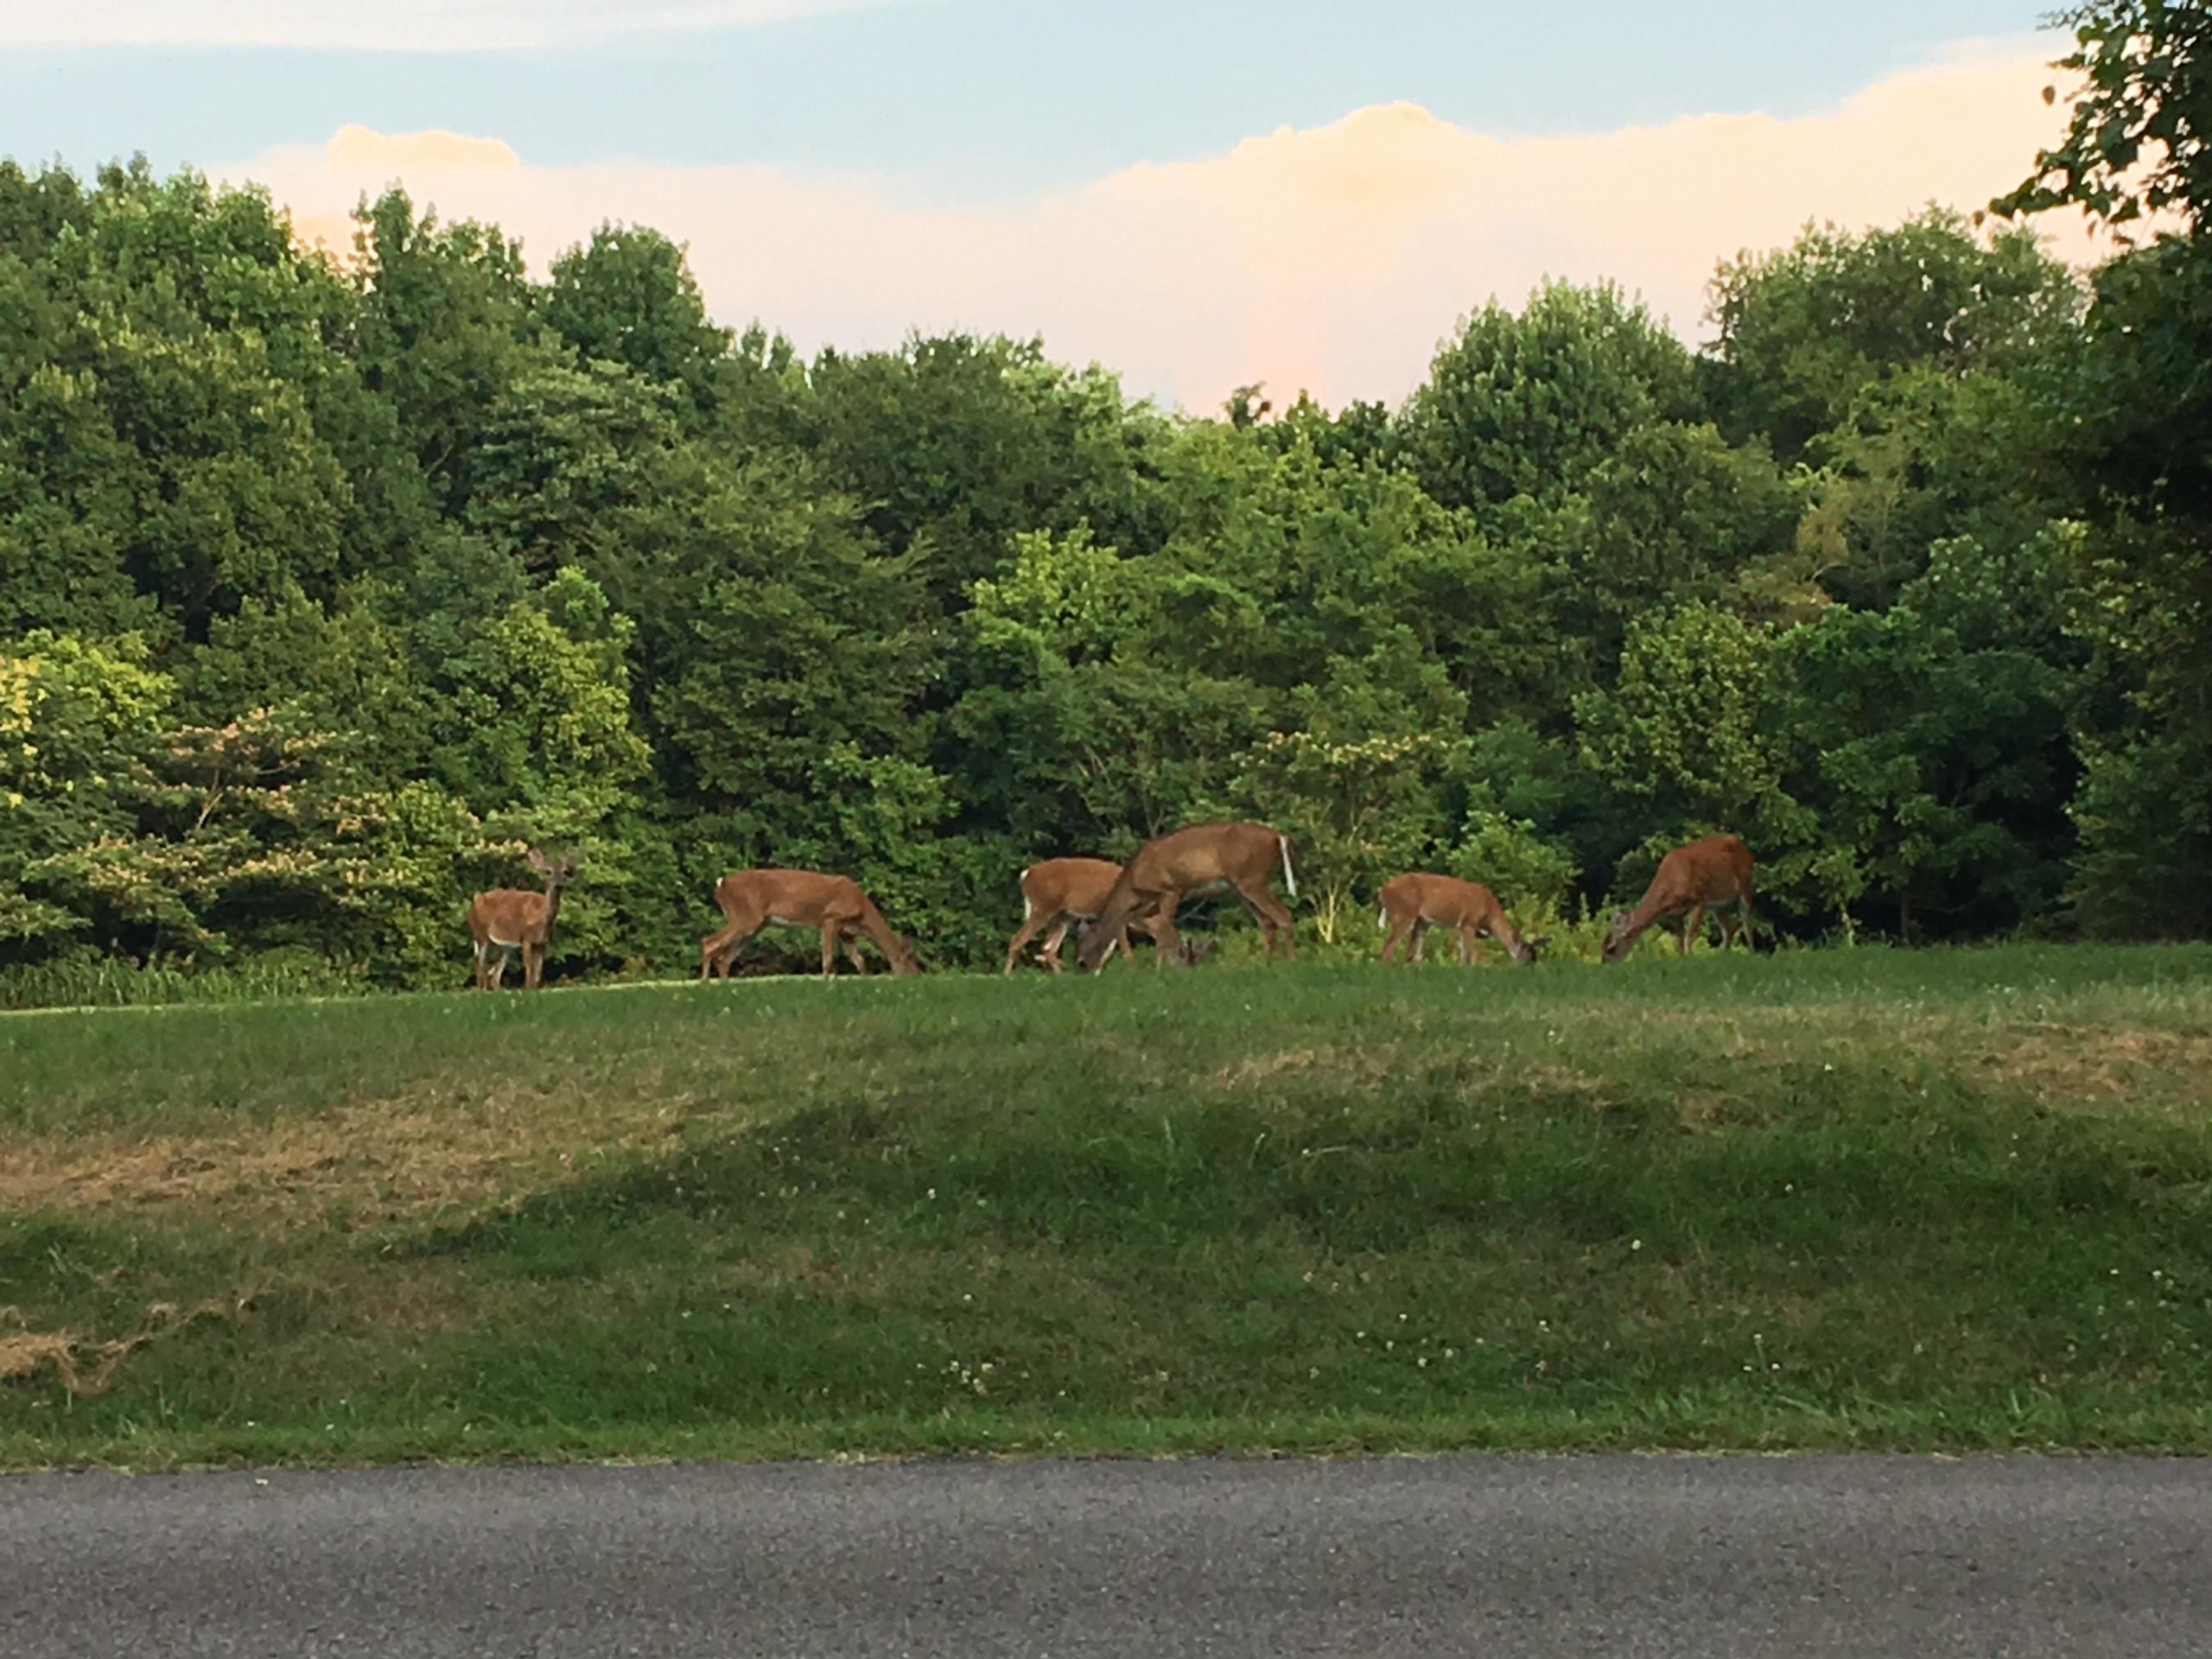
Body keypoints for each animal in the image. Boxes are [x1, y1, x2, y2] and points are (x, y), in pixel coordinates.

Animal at [467, 848, 581, 991]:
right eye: (548, 871)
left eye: (565, 871)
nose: (559, 884)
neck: (541, 917)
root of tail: (473, 903)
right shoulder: (526, 938)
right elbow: (529, 971)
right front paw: (528, 989)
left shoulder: (542, 943)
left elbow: (538, 974)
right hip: (480, 932)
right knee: (480, 965)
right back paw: (481, 990)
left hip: (506, 946)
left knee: (494, 974)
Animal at [699, 869, 920, 981]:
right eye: (911, 959)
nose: (917, 977)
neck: (862, 911)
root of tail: (722, 885)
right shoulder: (830, 918)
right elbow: (828, 959)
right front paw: (826, 985)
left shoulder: (847, 933)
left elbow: (860, 961)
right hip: (745, 916)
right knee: (709, 942)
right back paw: (705, 984)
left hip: (757, 923)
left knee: (725, 958)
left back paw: (725, 986)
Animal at [1074, 821, 1297, 973]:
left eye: (1083, 959)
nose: (1084, 967)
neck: (1133, 881)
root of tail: (1278, 836)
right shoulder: (1148, 903)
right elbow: (1153, 928)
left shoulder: (1171, 890)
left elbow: (1163, 929)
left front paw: (1159, 969)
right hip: (1243, 887)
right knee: (1268, 923)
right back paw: (1266, 965)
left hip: (1252, 879)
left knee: (1284, 916)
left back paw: (1293, 961)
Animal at [1376, 873, 1545, 966]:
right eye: (1528, 952)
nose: (1531, 966)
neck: (1489, 912)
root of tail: (1383, 890)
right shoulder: (1468, 922)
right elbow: (1474, 954)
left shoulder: (1463, 926)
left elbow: (1463, 956)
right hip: (1404, 914)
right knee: (1388, 948)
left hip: (1422, 921)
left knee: (1412, 954)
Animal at [1602, 834, 1757, 963]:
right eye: (1602, 946)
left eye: (1611, 948)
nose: (1606, 965)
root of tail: (1746, 849)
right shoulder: (1676, 914)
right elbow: (1679, 941)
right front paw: (1682, 960)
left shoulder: (1700, 899)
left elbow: (1690, 936)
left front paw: (1690, 958)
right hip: (1717, 905)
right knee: (1729, 927)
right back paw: (1724, 954)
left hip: (1745, 887)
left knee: (1747, 924)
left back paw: (1752, 953)